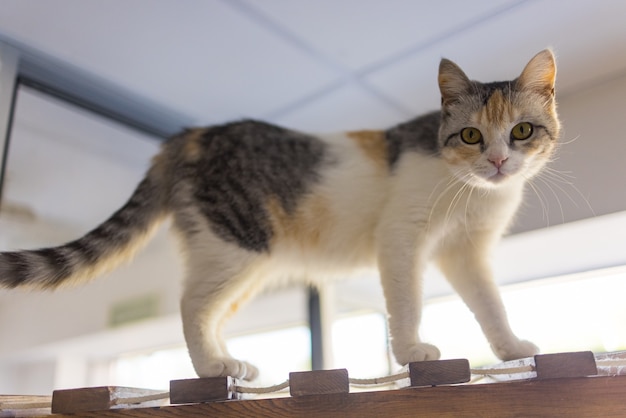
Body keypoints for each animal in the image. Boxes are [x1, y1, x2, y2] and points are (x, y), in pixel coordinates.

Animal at [0, 49, 556, 382]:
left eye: (522, 131)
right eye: (470, 136)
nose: (498, 161)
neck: (472, 192)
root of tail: (191, 135)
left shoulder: (466, 252)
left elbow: (490, 304)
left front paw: (511, 348)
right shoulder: (402, 236)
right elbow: (407, 302)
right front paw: (412, 350)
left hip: (238, 262)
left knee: (206, 308)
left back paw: (228, 362)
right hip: (237, 245)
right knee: (191, 304)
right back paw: (213, 367)